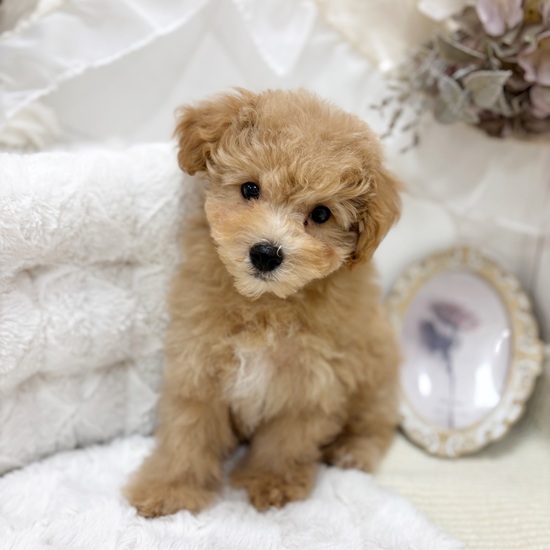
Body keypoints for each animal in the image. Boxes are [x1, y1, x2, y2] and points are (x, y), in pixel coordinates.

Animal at [125, 89, 402, 516]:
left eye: (321, 214)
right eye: (250, 189)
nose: (266, 253)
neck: (266, 305)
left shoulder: (312, 381)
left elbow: (286, 441)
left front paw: (272, 483)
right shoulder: (199, 361)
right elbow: (188, 433)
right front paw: (169, 489)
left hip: (378, 374)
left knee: (375, 423)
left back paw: (351, 451)